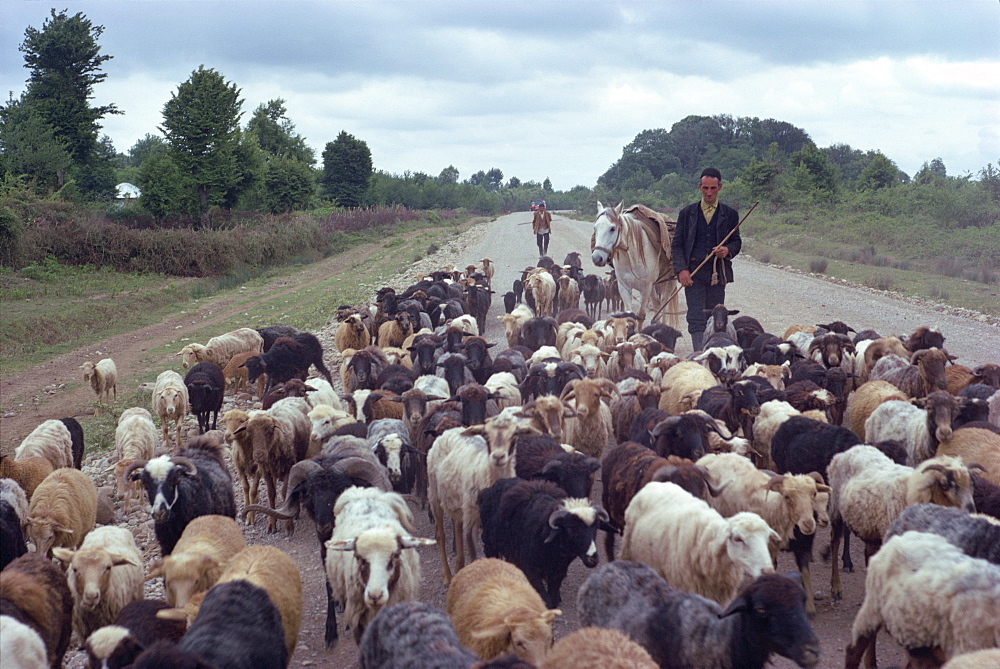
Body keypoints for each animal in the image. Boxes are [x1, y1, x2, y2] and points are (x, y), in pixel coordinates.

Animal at [592, 202, 680, 330]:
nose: (597, 258)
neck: (631, 258)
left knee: (663, 305)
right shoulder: (624, 287)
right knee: (657, 305)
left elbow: (641, 316)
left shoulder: (645, 288)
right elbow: (630, 316)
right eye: (595, 228)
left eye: (612, 228)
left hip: (668, 283)